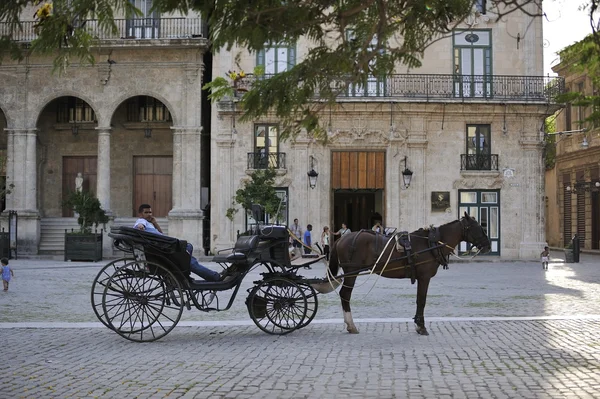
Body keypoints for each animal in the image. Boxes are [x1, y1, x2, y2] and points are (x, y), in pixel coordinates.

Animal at [312, 214, 490, 336]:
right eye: (477, 227)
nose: (488, 245)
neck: (430, 243)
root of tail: (341, 239)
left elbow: (419, 300)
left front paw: (418, 324)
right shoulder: (424, 278)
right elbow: (422, 301)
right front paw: (421, 326)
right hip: (351, 273)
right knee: (345, 295)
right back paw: (351, 325)